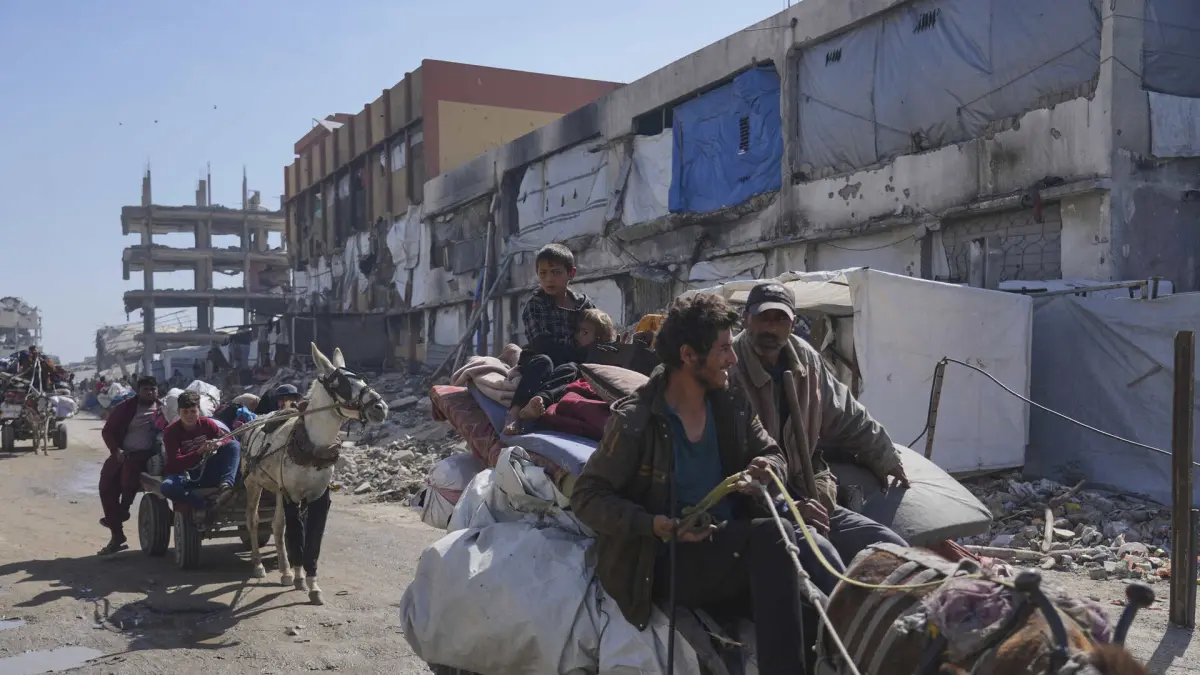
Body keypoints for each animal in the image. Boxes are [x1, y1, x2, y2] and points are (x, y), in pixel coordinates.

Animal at [241, 343, 389, 604]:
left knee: (277, 526)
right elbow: (297, 535)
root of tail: (255, 419)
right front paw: (301, 578)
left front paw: (311, 583)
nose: (380, 408)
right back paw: (258, 565)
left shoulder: (318, 497)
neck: (310, 446)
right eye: (340, 383)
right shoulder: (292, 495)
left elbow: (311, 539)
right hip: (253, 483)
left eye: (362, 379)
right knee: (254, 519)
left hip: (277, 489)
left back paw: (285, 571)